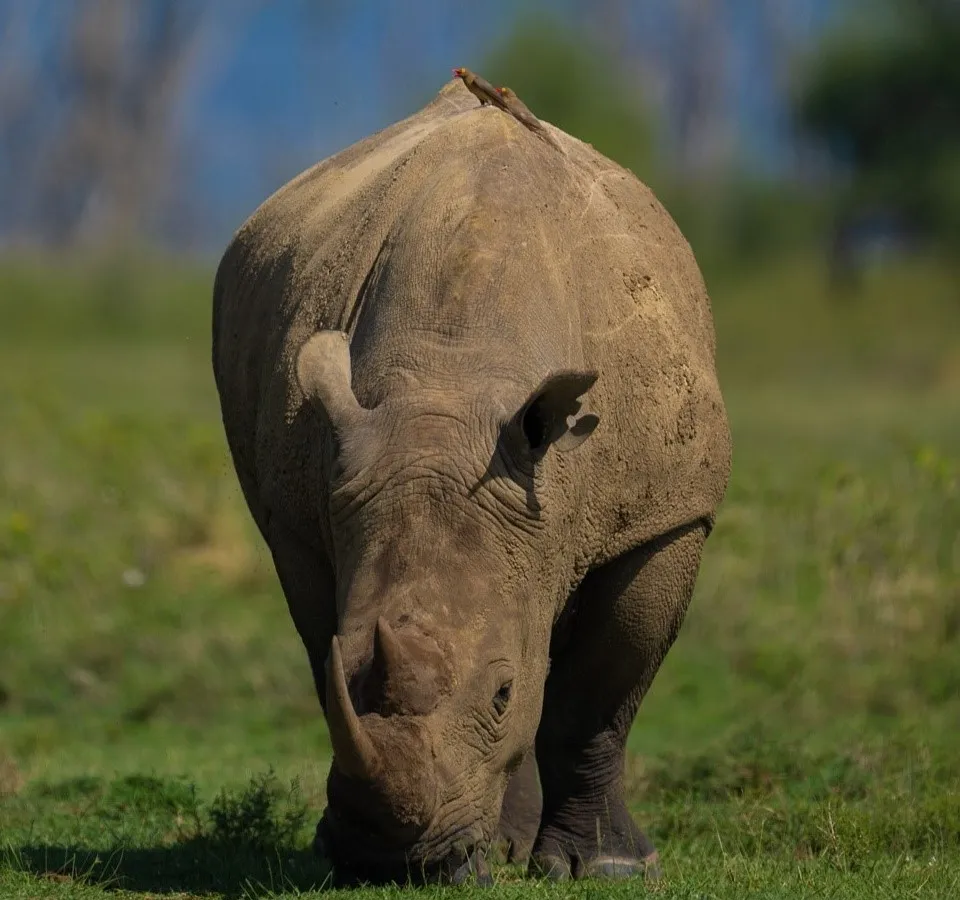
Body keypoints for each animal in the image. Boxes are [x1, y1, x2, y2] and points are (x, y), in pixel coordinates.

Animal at [212, 80, 731, 884]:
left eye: (501, 693)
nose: (394, 863)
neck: (451, 387)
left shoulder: (661, 518)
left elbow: (593, 702)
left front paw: (611, 869)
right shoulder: (306, 516)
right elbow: (325, 642)